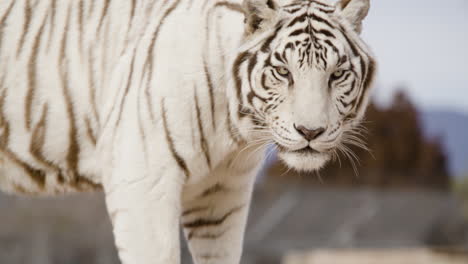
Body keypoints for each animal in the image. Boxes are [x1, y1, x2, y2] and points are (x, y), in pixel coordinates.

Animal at [0, 0, 376, 262]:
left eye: (337, 74)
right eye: (283, 71)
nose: (310, 131)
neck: (233, 130)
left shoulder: (220, 195)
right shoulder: (141, 180)